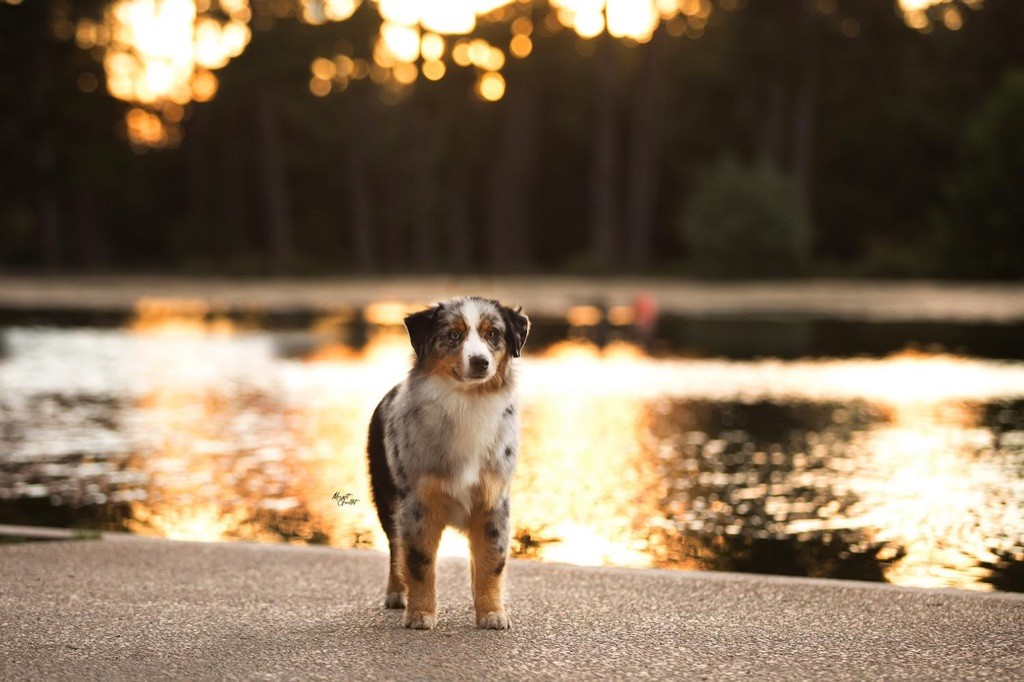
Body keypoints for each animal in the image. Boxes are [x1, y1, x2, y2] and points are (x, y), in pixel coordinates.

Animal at [366, 294, 528, 630]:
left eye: (493, 334)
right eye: (454, 335)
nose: (480, 362)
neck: (467, 402)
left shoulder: (493, 502)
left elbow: (491, 561)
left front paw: (491, 612)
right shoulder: (418, 503)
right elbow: (419, 561)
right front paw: (420, 614)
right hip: (386, 500)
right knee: (395, 549)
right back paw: (396, 594)